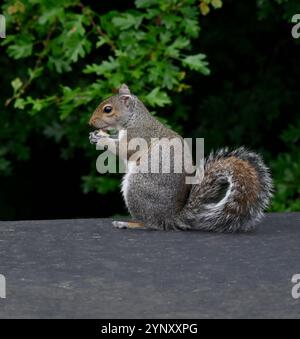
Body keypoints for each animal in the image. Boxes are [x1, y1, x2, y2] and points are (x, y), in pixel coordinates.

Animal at [88, 85, 272, 234]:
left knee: (151, 224)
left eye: (107, 109)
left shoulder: (139, 137)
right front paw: (97, 135)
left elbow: (125, 150)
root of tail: (170, 217)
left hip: (137, 188)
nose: (90, 123)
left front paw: (101, 140)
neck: (134, 119)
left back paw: (128, 224)